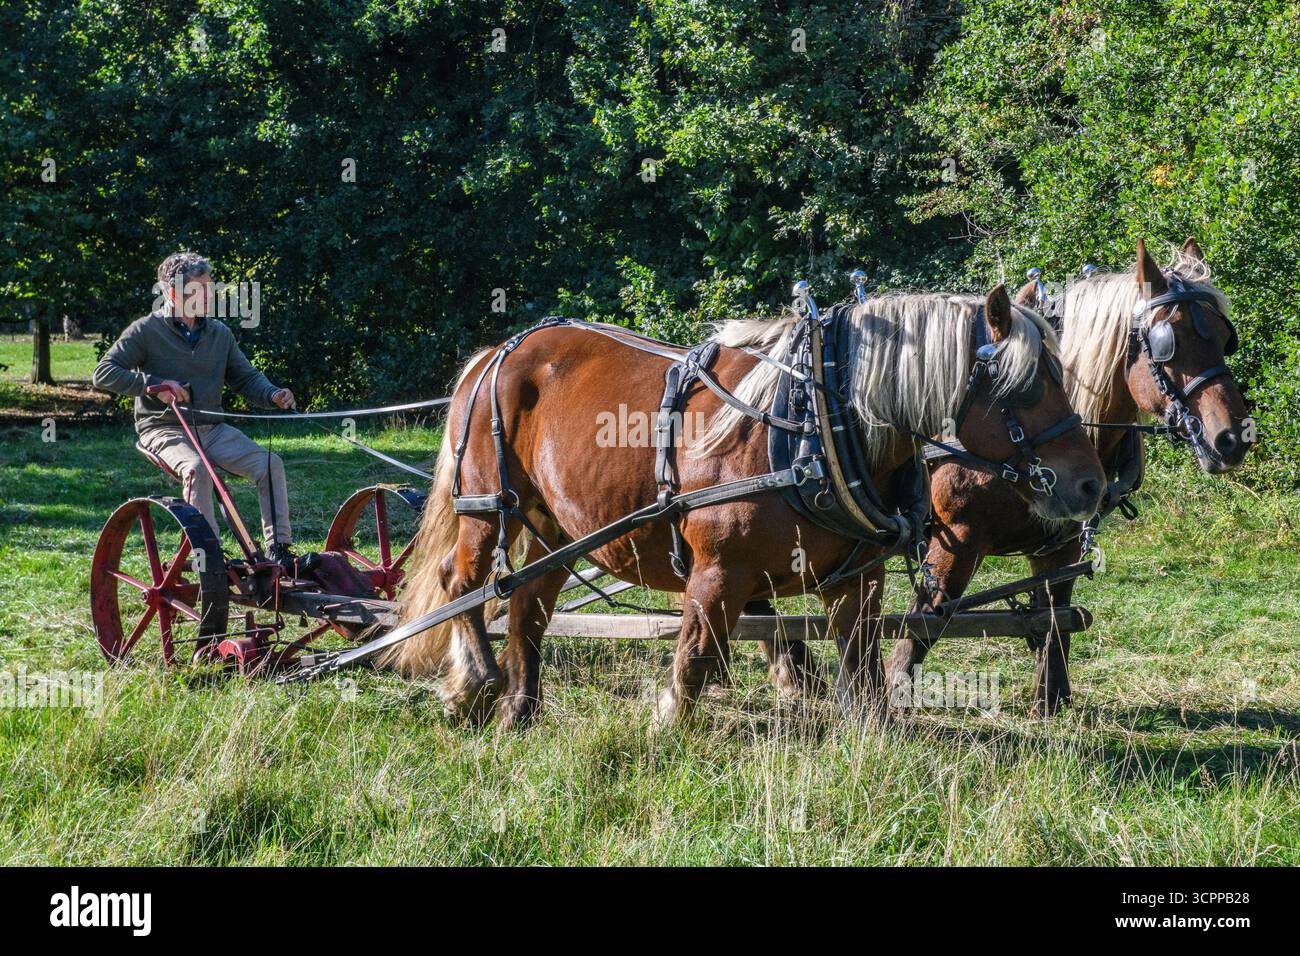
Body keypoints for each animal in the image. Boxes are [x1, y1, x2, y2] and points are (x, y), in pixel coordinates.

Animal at [385, 284, 1105, 728]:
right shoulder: (718, 573)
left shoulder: (855, 578)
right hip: (488, 504)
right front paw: (665, 729)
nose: (1091, 485)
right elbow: (695, 660)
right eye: (1030, 384)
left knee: (528, 603)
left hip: (554, 525)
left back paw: (521, 709)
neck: (813, 426)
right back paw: (475, 682)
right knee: (464, 583)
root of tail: (497, 352)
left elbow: (865, 673)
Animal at [882, 238, 1251, 716]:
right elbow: (921, 625)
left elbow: (1053, 619)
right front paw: (893, 695)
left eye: (1225, 338)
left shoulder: (1061, 545)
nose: (1233, 437)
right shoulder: (956, 539)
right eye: (1169, 341)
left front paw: (1050, 697)